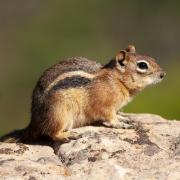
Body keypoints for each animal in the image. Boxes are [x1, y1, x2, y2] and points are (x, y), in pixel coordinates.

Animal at [0, 45, 166, 143]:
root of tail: (34, 121)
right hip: (59, 113)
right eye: (142, 65)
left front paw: (123, 118)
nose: (163, 74)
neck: (117, 80)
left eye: (153, 58)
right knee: (51, 132)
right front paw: (119, 124)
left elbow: (116, 114)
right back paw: (66, 135)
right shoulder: (104, 104)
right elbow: (109, 116)